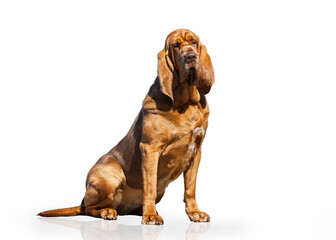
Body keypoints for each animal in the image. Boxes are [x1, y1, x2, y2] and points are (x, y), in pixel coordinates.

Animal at [38, 28, 214, 225]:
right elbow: (149, 186)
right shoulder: (150, 149)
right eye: (176, 45)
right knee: (89, 209)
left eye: (194, 42)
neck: (185, 104)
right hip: (109, 176)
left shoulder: (196, 152)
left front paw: (195, 213)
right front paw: (150, 215)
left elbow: (190, 188)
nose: (190, 56)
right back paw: (108, 211)